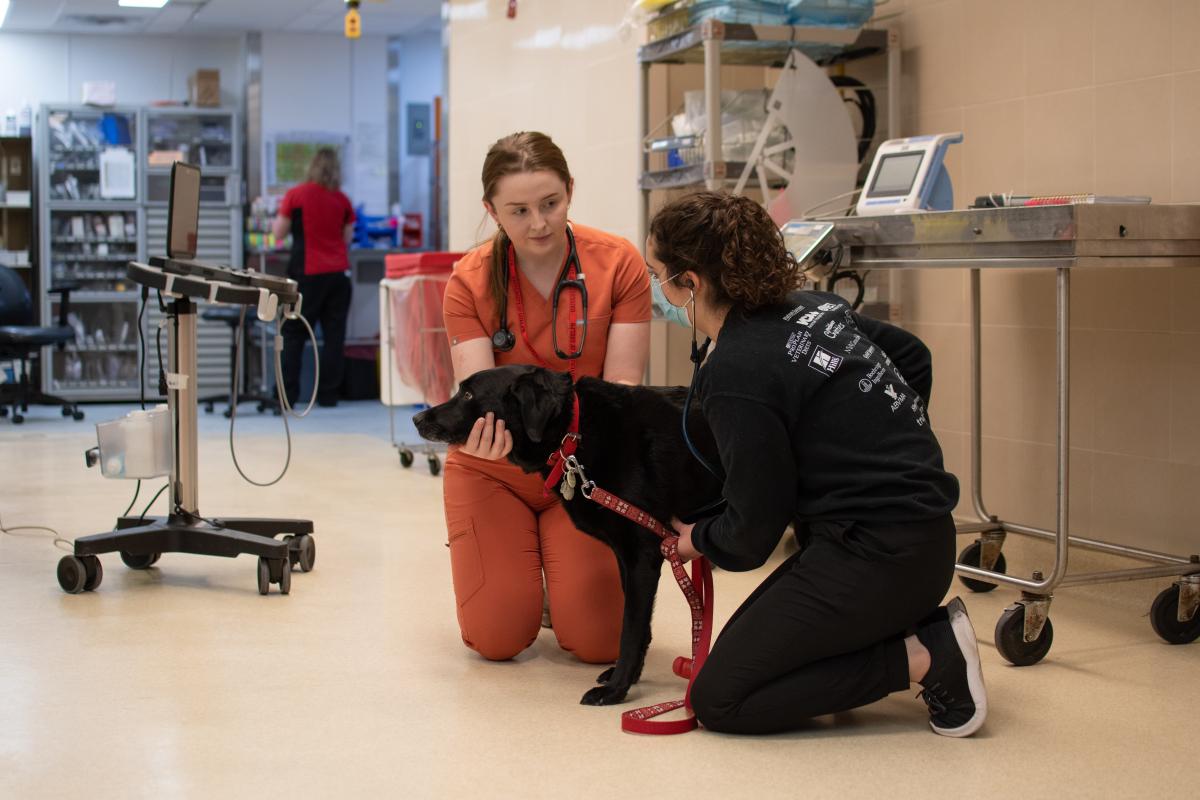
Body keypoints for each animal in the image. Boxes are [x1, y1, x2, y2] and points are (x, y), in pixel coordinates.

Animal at [412, 367, 720, 705]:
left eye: (467, 394)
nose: (417, 418)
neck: (572, 437)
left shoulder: (642, 555)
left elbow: (631, 628)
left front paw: (616, 689)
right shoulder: (627, 558)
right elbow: (638, 628)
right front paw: (626, 677)